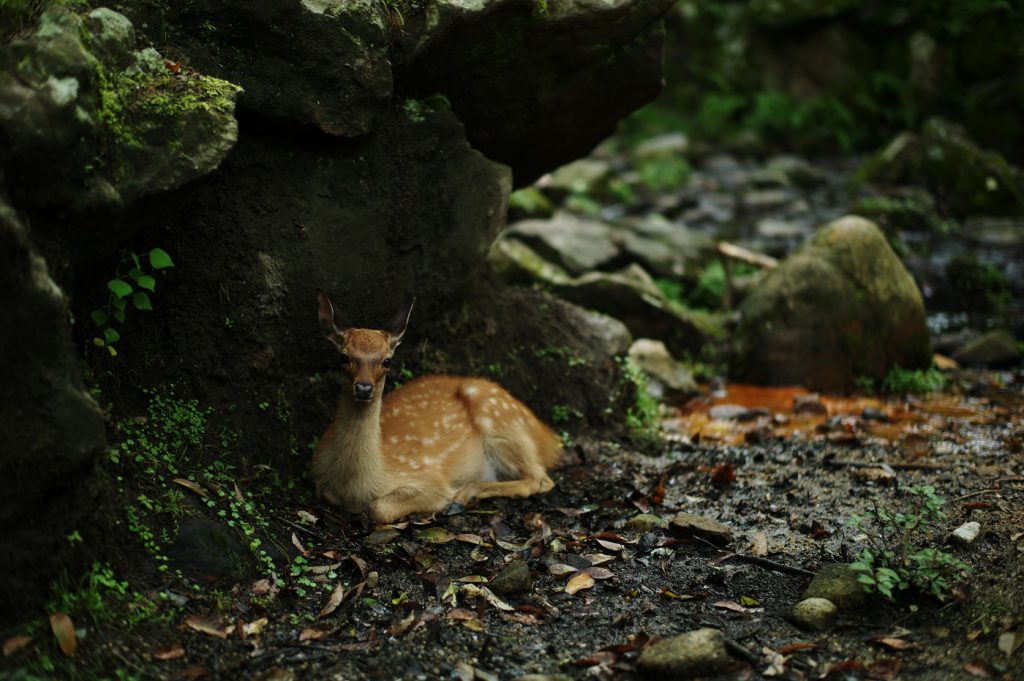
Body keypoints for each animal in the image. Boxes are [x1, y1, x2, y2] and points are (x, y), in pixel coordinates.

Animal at [315, 290, 565, 520]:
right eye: (343, 357)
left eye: (387, 361)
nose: (364, 388)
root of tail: (547, 437)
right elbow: (325, 492)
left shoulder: (429, 478)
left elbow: (379, 508)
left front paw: (449, 497)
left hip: (501, 419)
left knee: (539, 479)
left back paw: (464, 495)